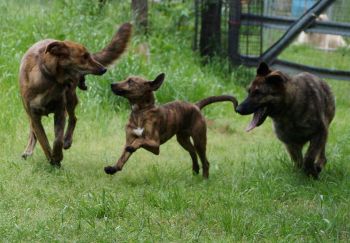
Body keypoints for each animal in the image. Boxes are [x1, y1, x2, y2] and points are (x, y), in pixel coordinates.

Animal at [102, 73, 237, 178]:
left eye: (130, 81)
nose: (112, 84)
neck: (140, 112)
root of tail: (196, 106)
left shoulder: (155, 145)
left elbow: (139, 140)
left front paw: (133, 147)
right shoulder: (129, 139)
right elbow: (123, 157)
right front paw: (113, 168)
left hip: (199, 140)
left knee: (205, 161)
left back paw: (204, 179)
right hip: (183, 140)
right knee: (193, 153)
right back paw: (195, 169)